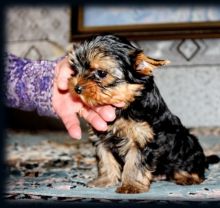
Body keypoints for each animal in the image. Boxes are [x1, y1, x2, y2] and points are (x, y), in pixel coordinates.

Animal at [68, 33, 219, 193]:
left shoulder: (143, 137)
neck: (126, 105)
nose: (76, 88)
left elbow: (135, 162)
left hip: (188, 146)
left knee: (193, 165)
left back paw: (188, 177)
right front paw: (105, 180)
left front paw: (130, 185)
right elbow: (105, 158)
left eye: (101, 73)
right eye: (75, 69)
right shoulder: (101, 137)